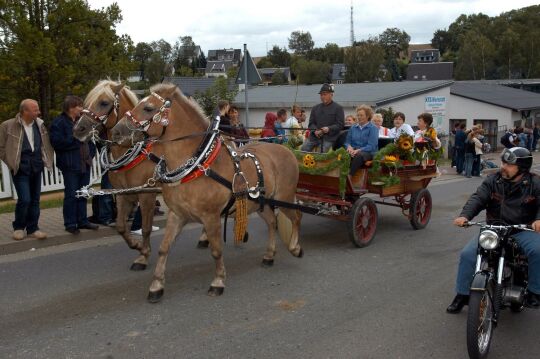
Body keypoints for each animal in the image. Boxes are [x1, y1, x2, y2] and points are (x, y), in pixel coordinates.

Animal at [73, 81, 165, 272]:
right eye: (86, 102)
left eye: (104, 103)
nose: (78, 129)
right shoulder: (123, 193)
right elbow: (122, 226)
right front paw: (137, 246)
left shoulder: (147, 195)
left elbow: (146, 227)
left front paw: (143, 256)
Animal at [112, 83, 304, 302]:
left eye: (148, 108)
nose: (116, 132)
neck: (197, 164)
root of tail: (287, 150)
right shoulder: (177, 215)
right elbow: (164, 248)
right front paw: (156, 285)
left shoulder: (211, 217)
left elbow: (216, 250)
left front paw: (218, 281)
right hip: (259, 203)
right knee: (272, 222)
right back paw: (269, 255)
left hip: (284, 197)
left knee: (296, 216)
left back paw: (295, 247)